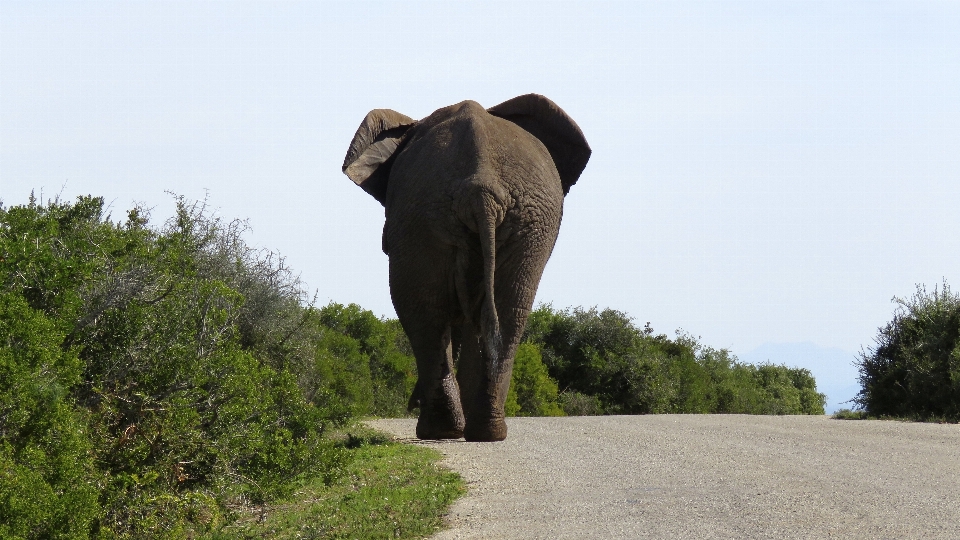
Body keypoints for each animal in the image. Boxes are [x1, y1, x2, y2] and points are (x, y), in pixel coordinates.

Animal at [342, 93, 588, 440]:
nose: (411, 402)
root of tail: (481, 186)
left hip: (441, 216)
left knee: (424, 308)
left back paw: (442, 431)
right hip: (511, 221)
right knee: (506, 310)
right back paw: (481, 432)